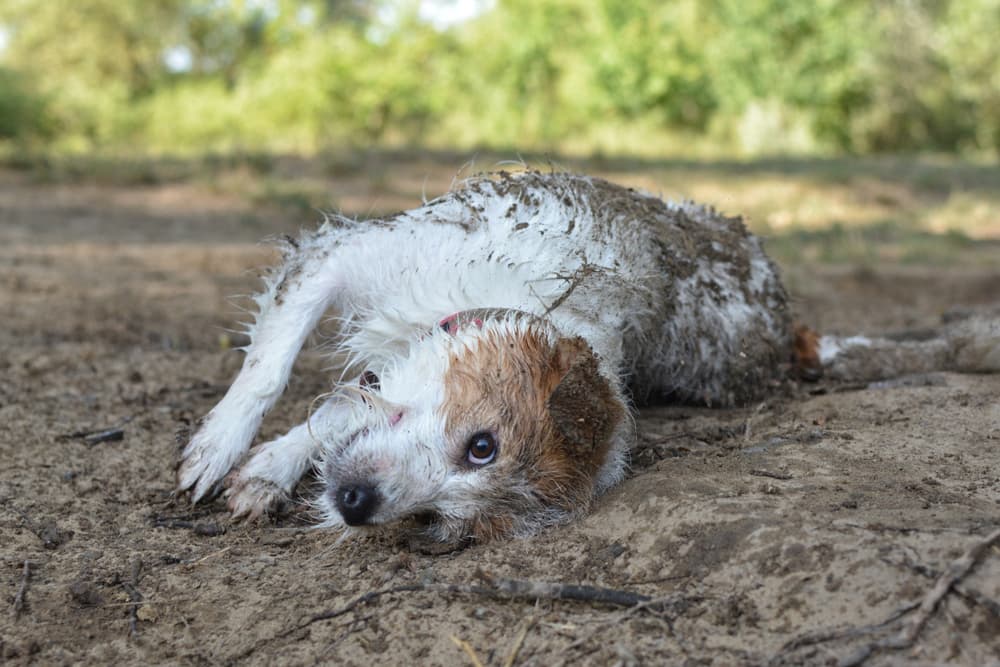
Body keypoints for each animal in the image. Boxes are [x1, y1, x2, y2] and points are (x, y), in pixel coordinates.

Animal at [176, 171, 996, 544]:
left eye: (443, 516)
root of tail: (786, 327)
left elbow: (337, 412)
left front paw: (268, 468)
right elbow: (272, 368)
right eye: (482, 444)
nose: (358, 504)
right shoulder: (341, 256)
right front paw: (222, 447)